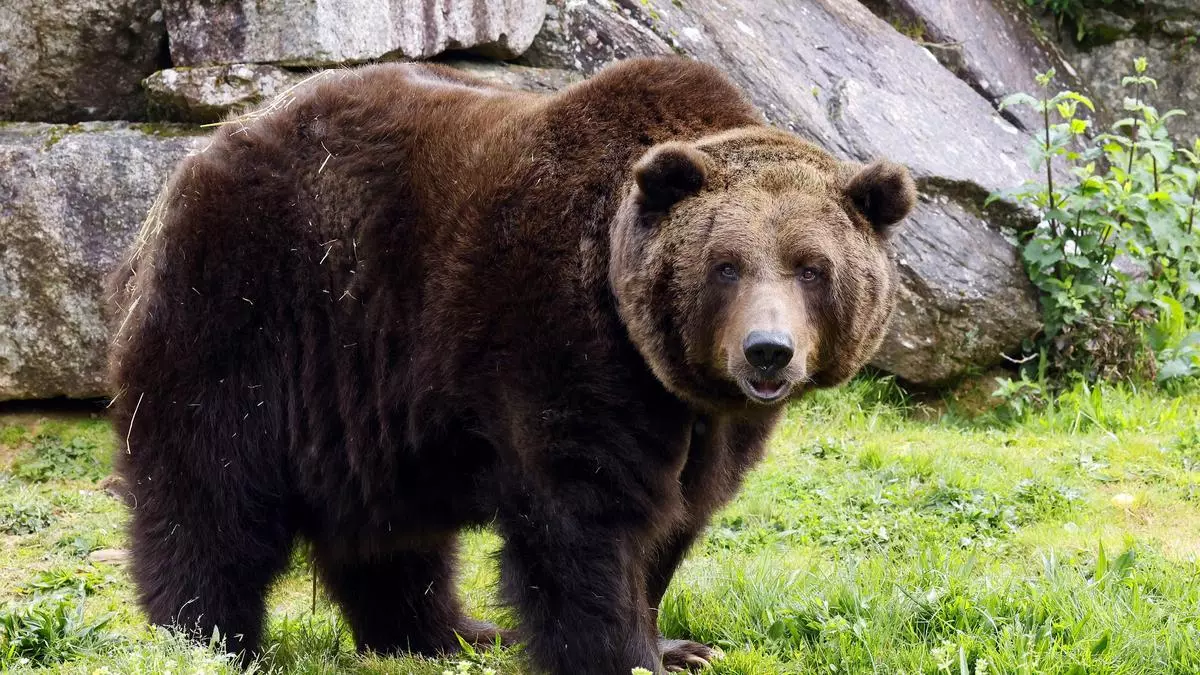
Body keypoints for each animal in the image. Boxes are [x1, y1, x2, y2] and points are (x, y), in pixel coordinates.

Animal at [106, 56, 915, 674]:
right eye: (726, 265)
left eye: (812, 268)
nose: (768, 351)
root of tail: (202, 150)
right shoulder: (561, 341)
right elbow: (585, 517)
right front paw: (620, 653)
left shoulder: (708, 421)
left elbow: (679, 517)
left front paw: (677, 642)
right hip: (252, 310)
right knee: (211, 486)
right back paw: (210, 638)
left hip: (366, 391)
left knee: (389, 531)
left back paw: (444, 633)